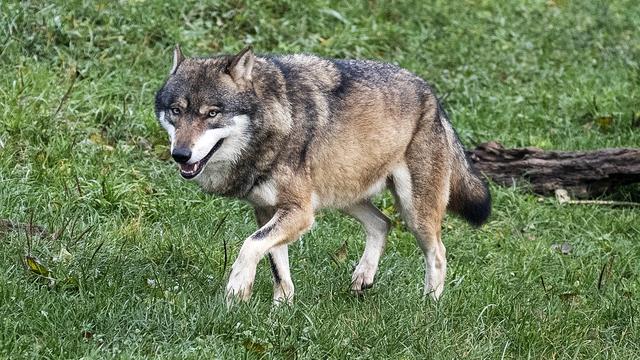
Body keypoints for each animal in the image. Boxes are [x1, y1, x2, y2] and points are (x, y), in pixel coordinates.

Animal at [155, 45, 490, 304]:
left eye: (212, 113)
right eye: (176, 111)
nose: (180, 154)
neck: (276, 123)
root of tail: (432, 96)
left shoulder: (300, 213)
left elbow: (249, 246)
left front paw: (238, 290)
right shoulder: (267, 211)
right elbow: (278, 266)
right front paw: (281, 310)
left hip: (414, 213)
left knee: (438, 253)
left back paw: (428, 306)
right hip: (345, 196)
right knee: (383, 223)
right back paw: (363, 277)